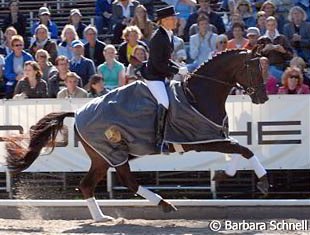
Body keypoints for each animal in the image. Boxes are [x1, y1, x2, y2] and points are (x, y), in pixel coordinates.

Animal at [4, 48, 268, 221]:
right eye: (254, 69)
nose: (263, 98)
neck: (199, 95)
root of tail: (77, 113)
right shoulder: (201, 140)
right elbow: (243, 149)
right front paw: (263, 181)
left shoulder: (214, 136)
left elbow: (239, 149)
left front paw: (224, 175)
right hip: (111, 153)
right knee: (124, 181)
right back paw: (162, 205)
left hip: (105, 157)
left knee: (89, 184)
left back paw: (102, 218)